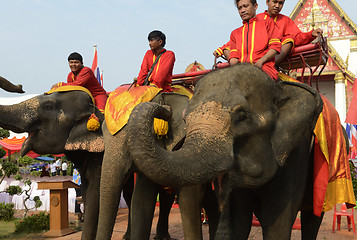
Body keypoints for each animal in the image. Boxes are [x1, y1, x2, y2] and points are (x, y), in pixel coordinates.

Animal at [126, 63, 326, 240]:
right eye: (185, 119)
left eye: (242, 117)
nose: (165, 109)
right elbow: (238, 221)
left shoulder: (296, 152)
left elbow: (277, 223)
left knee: (312, 219)